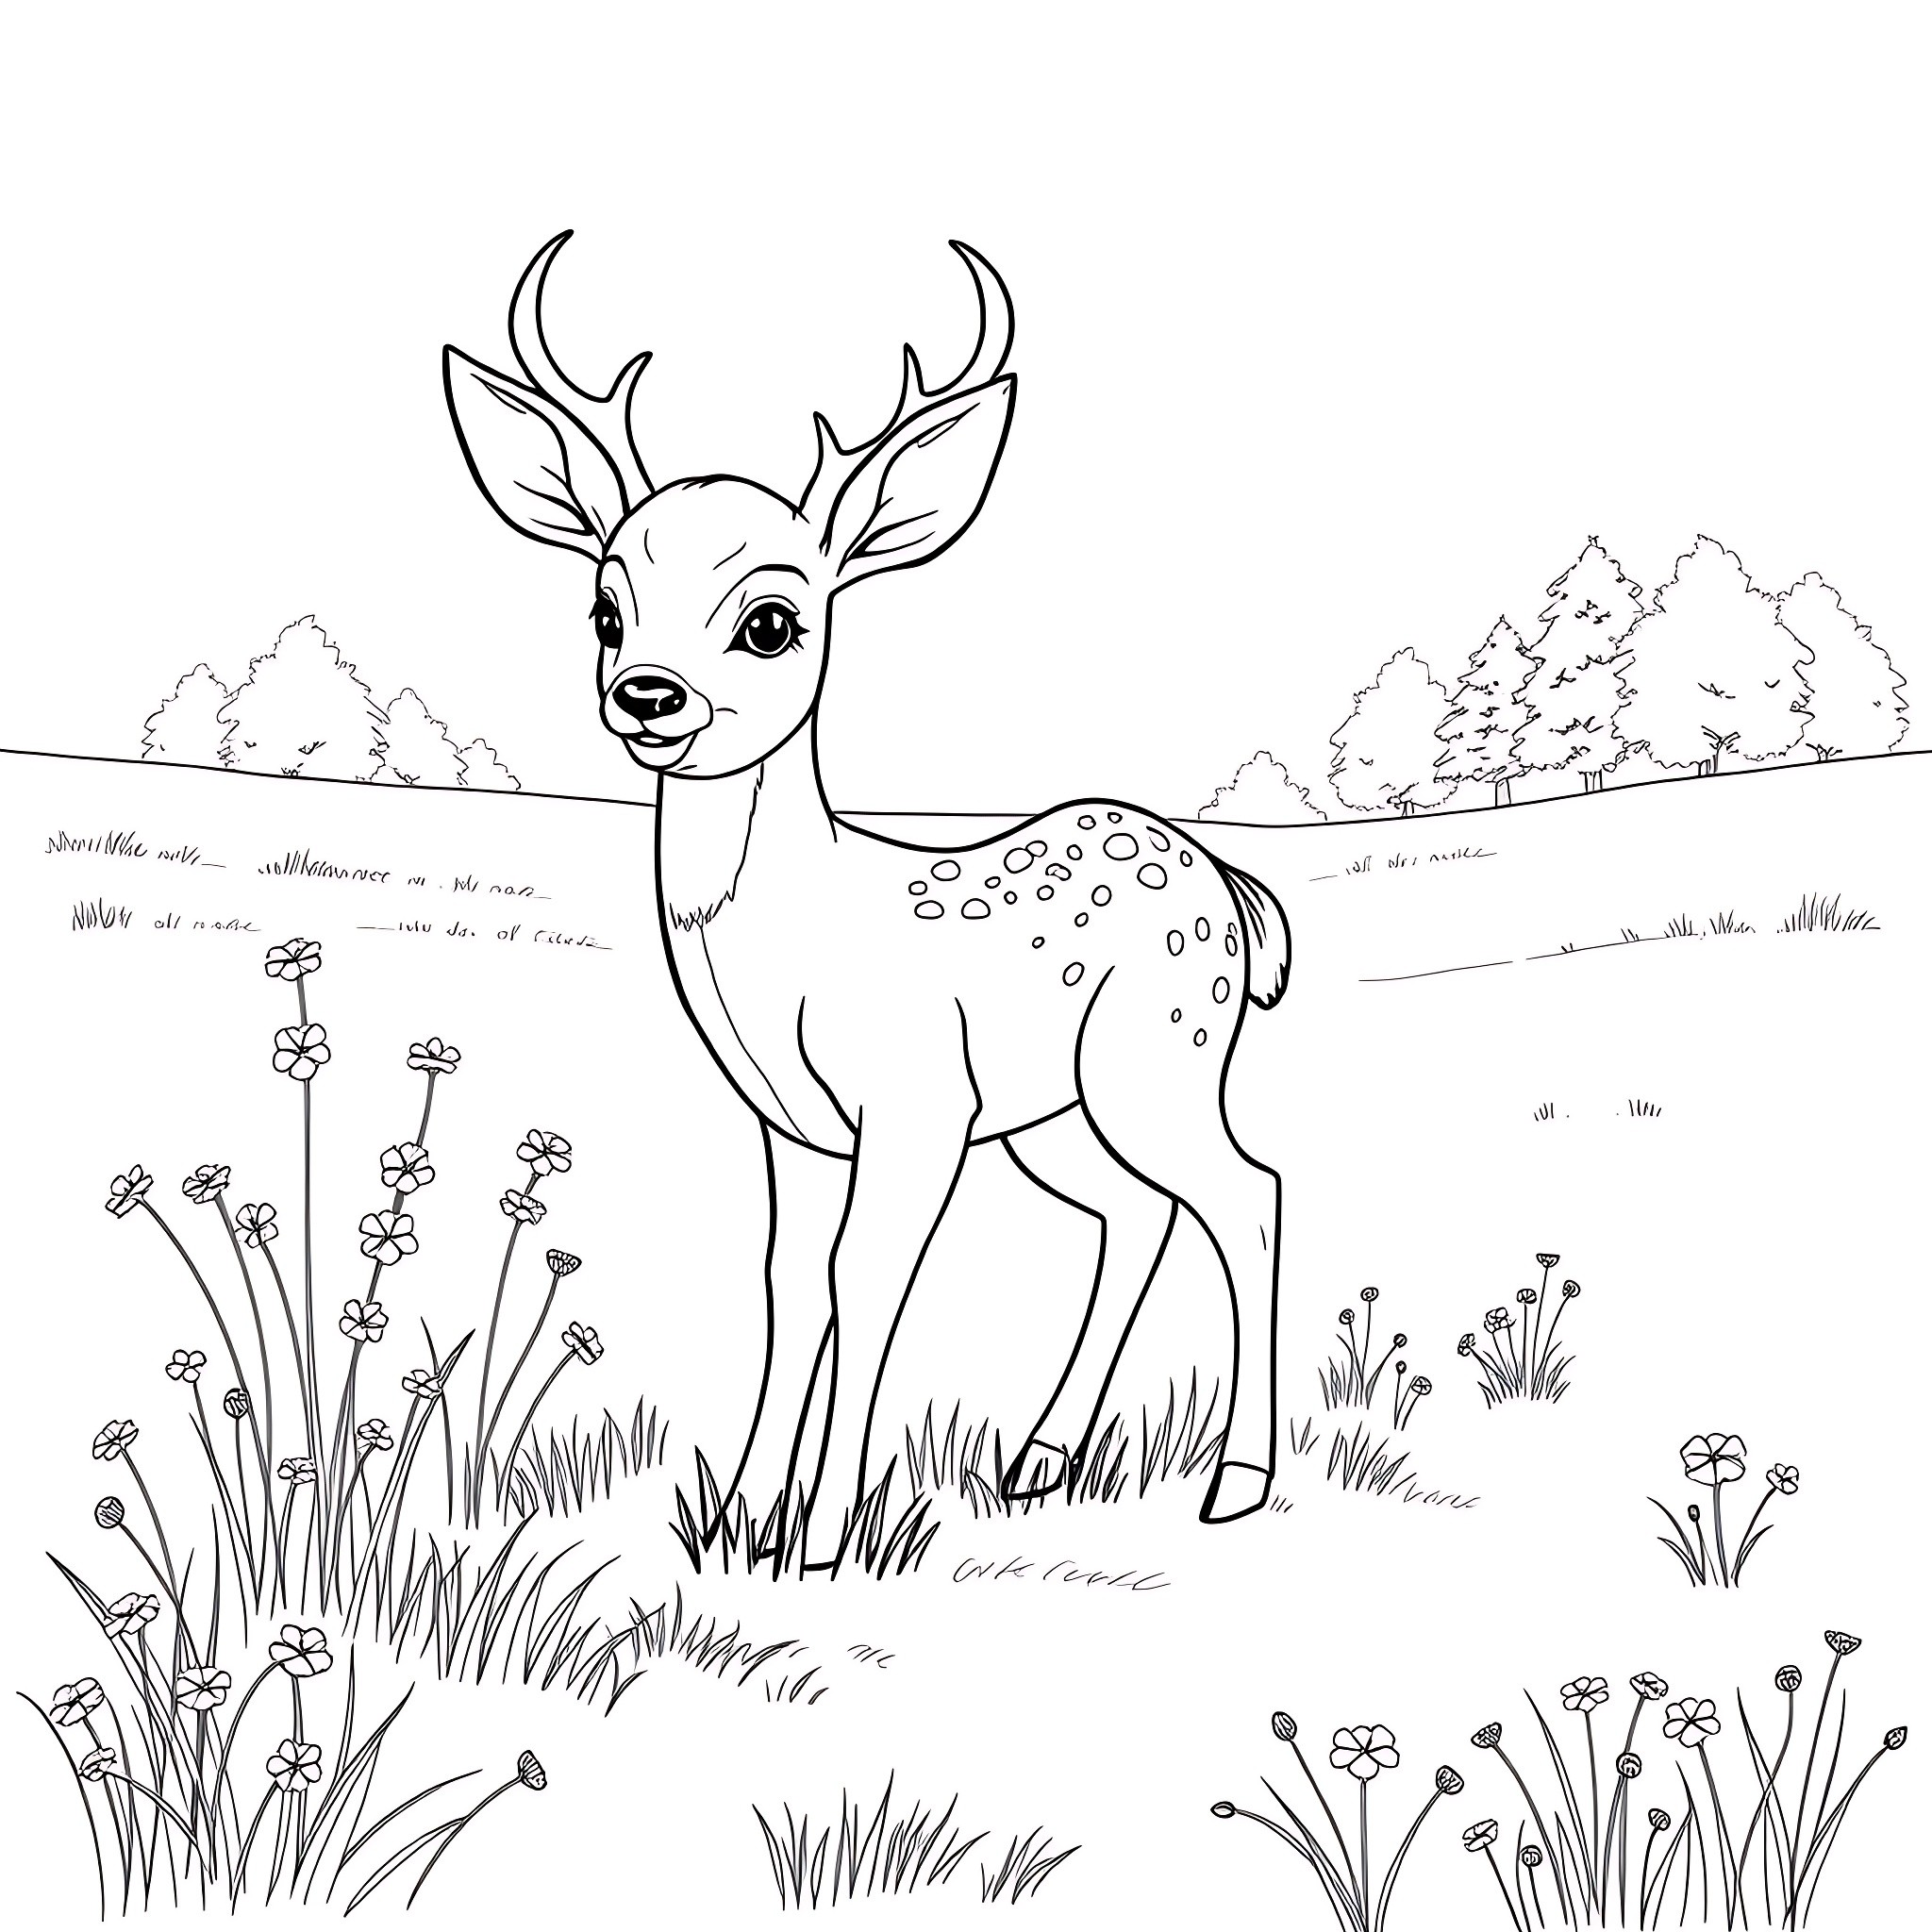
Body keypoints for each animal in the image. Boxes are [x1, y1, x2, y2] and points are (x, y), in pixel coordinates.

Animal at [444, 235, 1291, 1558]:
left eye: (770, 620)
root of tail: (1235, 893)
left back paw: (1236, 1480)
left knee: (1247, 1194)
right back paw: (1037, 1459)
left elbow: (871, 1279)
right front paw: (740, 1516)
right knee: (1134, 1215)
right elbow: (789, 1287)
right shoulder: (795, 1129)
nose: (646, 694)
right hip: (1053, 1111)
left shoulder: (916, 1103)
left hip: (1156, 1058)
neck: (795, 952)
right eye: (602, 607)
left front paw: (827, 1529)